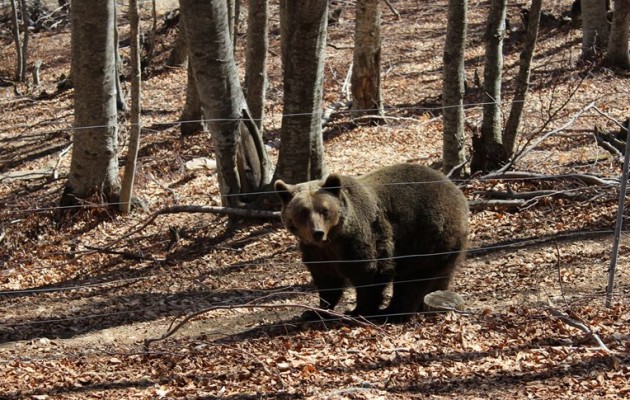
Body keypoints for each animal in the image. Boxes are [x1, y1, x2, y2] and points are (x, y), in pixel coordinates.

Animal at [276, 162, 470, 322]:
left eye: (324, 210)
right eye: (303, 212)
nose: (317, 232)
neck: (333, 240)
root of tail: (456, 191)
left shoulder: (361, 238)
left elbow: (371, 271)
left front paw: (358, 311)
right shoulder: (316, 251)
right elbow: (327, 279)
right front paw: (315, 311)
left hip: (428, 235)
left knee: (413, 278)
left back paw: (394, 312)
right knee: (440, 274)